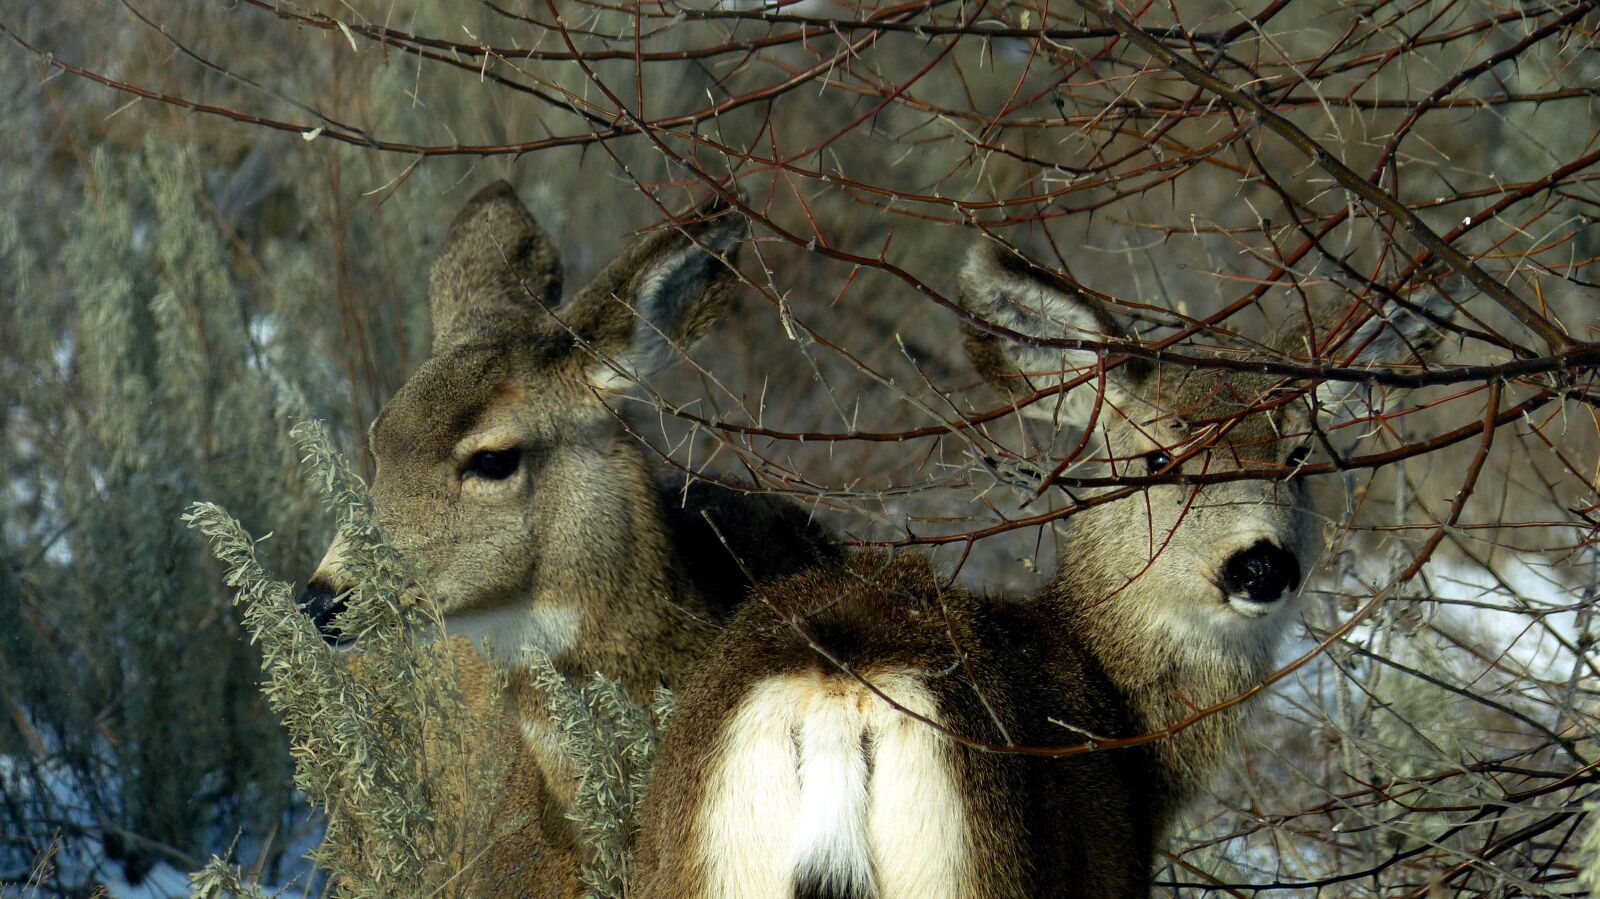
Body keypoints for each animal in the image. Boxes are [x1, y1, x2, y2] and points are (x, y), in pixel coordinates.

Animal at [631, 243, 1456, 898]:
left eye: (1299, 456)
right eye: (1157, 457)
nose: (1259, 563)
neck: (1123, 723)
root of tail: (836, 690)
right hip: (972, 866)